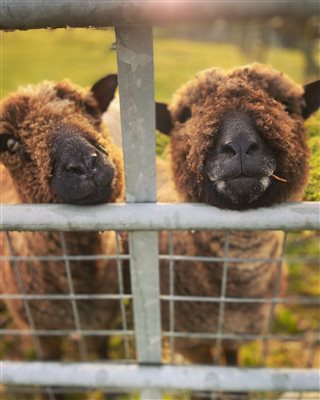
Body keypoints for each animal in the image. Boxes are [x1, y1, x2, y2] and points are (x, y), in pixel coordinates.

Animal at [156, 63, 320, 368]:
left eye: (286, 105)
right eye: (185, 116)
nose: (241, 145)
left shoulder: (239, 334)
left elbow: (232, 364)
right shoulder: (192, 343)